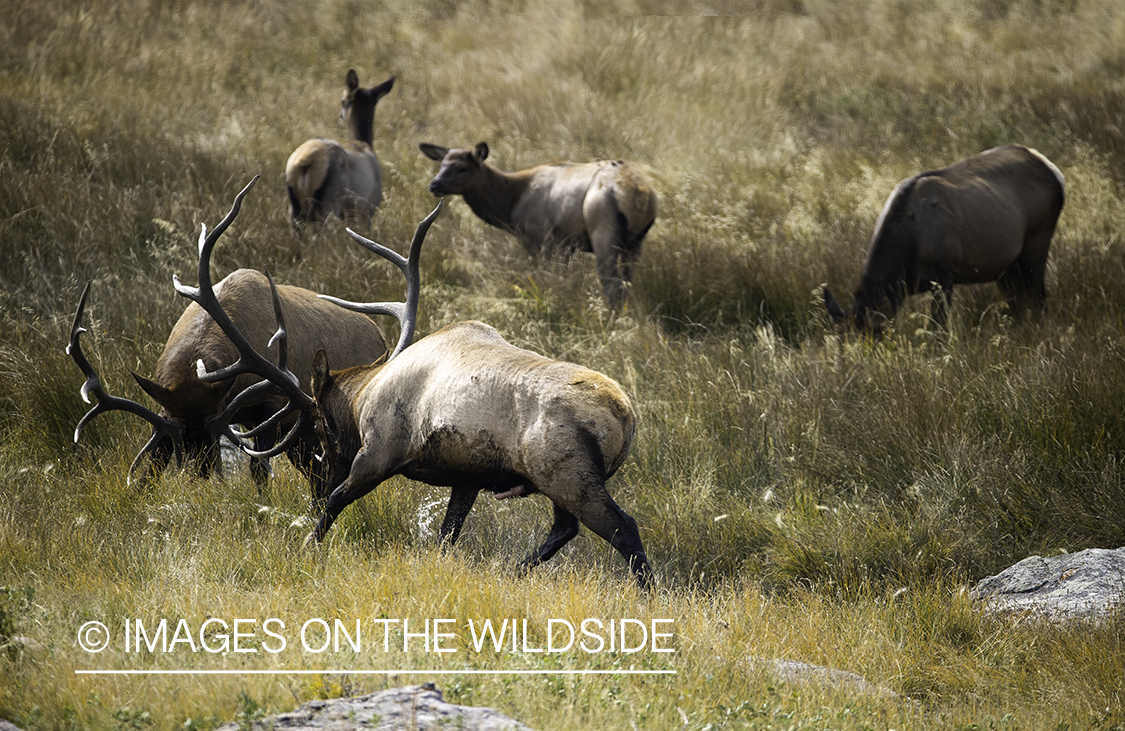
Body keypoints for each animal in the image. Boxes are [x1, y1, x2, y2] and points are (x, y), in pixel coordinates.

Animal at [68, 176, 391, 497]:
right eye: (179, 433)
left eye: (215, 424)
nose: (200, 474)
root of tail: (382, 338)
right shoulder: (164, 413)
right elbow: (150, 472)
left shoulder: (271, 406)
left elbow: (259, 469)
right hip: (303, 433)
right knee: (318, 475)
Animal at [185, 182, 657, 584]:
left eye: (319, 424)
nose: (316, 486)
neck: (363, 396)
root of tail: (625, 416)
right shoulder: (467, 476)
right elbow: (448, 534)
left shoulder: (378, 452)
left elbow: (340, 503)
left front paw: (305, 543)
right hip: (560, 481)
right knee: (564, 528)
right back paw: (516, 571)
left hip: (567, 474)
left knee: (622, 528)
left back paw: (648, 592)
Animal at [285, 67, 396, 233]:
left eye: (342, 100)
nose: (340, 115)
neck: (362, 145)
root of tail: (306, 159)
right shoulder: (366, 213)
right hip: (325, 210)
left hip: (296, 212)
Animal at [418, 140, 657, 308]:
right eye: (442, 164)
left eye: (462, 168)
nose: (434, 184)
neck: (510, 206)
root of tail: (641, 194)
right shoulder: (566, 244)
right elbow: (563, 279)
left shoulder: (539, 237)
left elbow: (544, 279)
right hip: (636, 241)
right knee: (627, 282)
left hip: (602, 231)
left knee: (613, 285)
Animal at [819, 143, 1062, 330]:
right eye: (839, 343)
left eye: (870, 337)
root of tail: (1055, 172)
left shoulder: (945, 274)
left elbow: (938, 330)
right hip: (1005, 265)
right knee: (1018, 303)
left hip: (1038, 239)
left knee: (1039, 297)